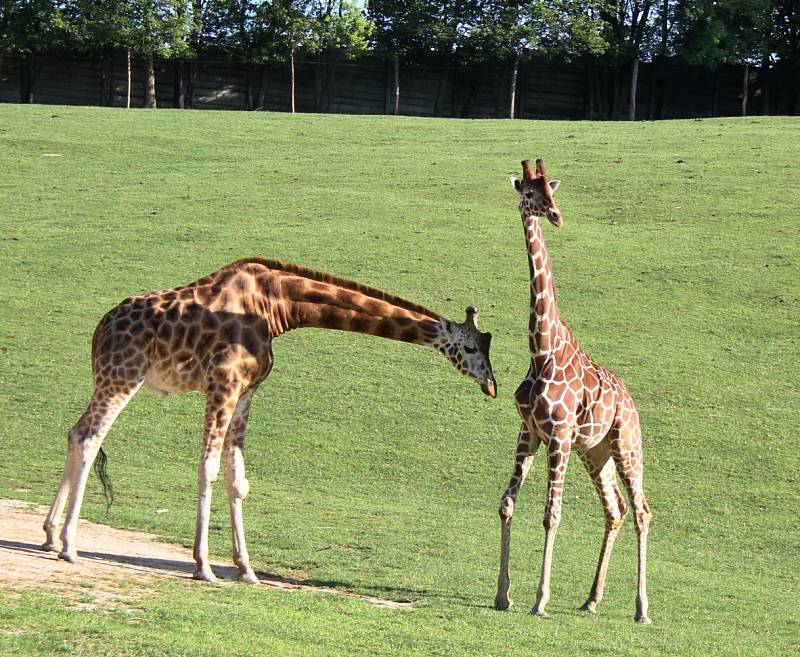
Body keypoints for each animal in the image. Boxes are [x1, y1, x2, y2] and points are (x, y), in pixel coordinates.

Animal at [43, 258, 496, 584]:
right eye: (473, 348)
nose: (492, 385)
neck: (279, 306)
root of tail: (100, 329)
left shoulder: (246, 392)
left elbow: (238, 480)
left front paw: (246, 569)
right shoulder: (223, 385)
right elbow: (208, 469)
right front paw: (203, 566)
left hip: (112, 377)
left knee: (76, 431)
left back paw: (49, 536)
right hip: (125, 374)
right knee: (89, 436)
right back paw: (68, 544)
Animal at [490, 161, 652, 624]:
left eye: (552, 190)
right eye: (529, 192)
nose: (557, 216)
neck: (541, 348)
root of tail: (632, 403)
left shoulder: (558, 436)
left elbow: (552, 515)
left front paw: (540, 600)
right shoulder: (529, 432)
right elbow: (507, 504)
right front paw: (502, 594)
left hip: (625, 445)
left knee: (641, 511)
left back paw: (642, 609)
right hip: (595, 453)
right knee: (614, 510)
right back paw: (592, 599)